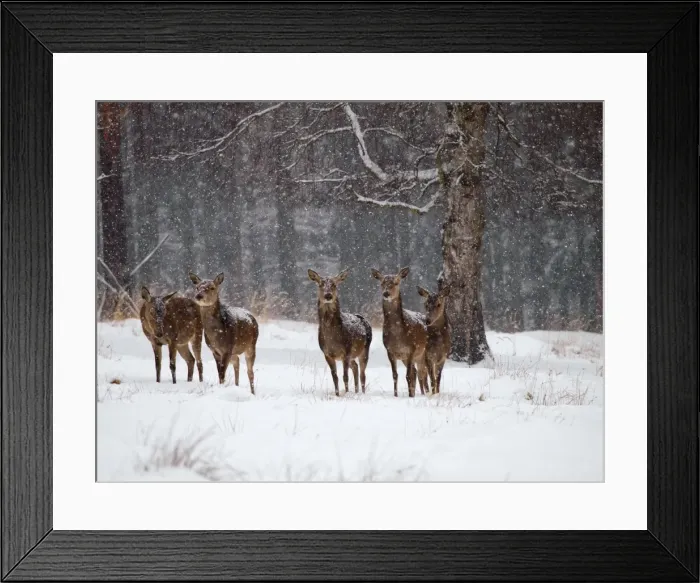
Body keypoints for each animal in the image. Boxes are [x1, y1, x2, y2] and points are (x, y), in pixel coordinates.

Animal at [307, 268, 373, 397]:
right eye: (321, 284)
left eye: (334, 284)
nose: (328, 295)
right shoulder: (327, 354)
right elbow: (335, 377)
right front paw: (337, 394)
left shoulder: (346, 351)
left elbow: (345, 377)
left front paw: (346, 394)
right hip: (353, 355)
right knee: (355, 367)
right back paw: (356, 391)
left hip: (365, 349)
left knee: (363, 374)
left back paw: (361, 393)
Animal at [370, 266, 429, 398]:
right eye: (382, 283)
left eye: (396, 282)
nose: (386, 293)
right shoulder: (390, 351)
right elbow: (395, 375)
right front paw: (396, 395)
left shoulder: (411, 349)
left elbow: (408, 376)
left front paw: (410, 396)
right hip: (408, 358)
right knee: (417, 372)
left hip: (424, 353)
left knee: (424, 372)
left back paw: (426, 393)